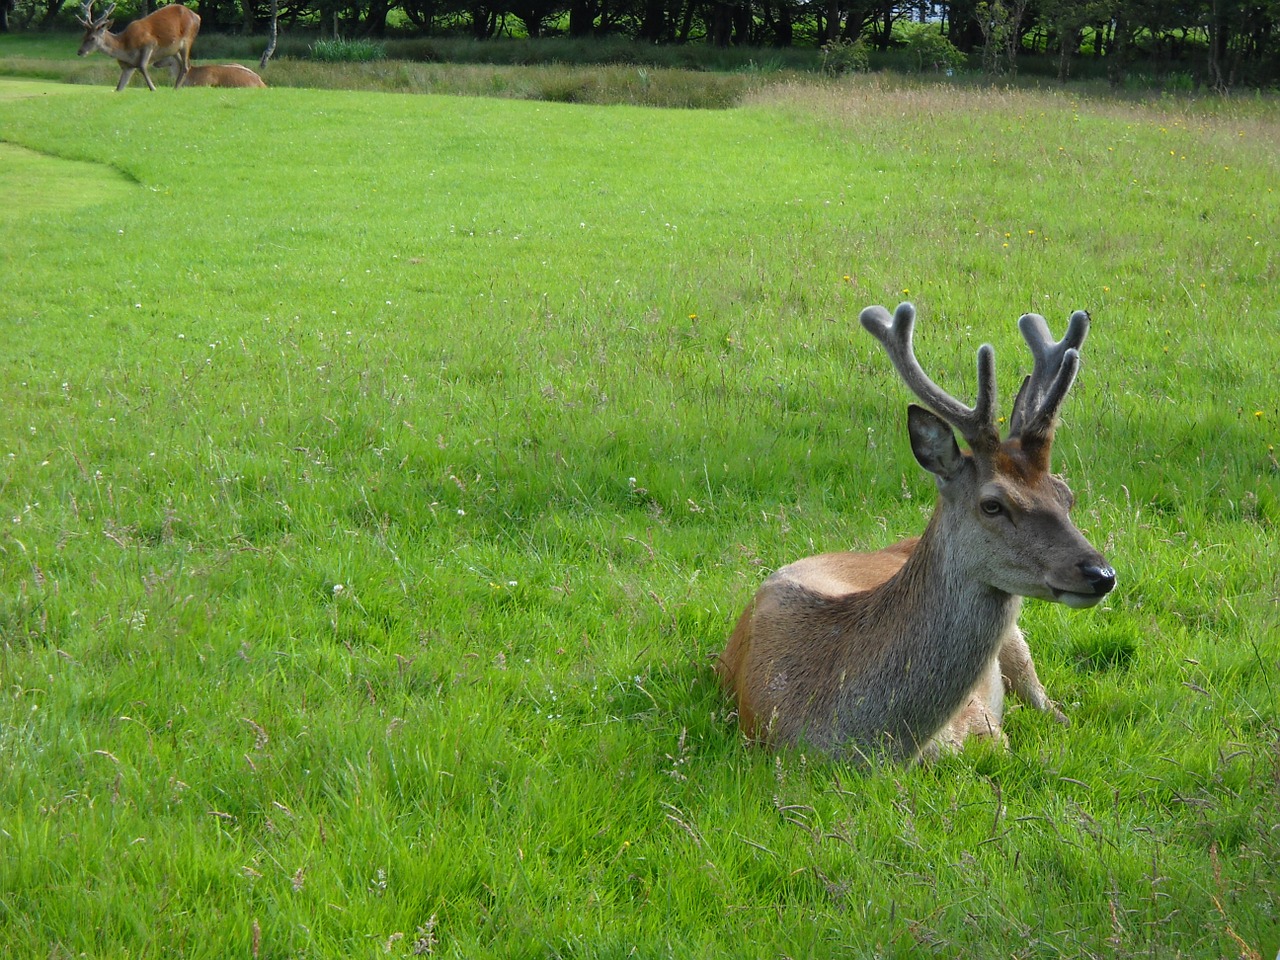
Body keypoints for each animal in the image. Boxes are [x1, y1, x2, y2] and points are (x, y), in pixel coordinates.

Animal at [716, 300, 1116, 768]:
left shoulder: (985, 725)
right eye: (992, 504)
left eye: (1066, 494)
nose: (1100, 573)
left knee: (1052, 707)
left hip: (1018, 643)